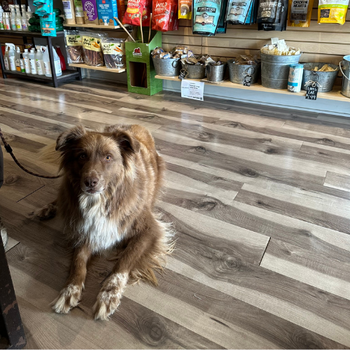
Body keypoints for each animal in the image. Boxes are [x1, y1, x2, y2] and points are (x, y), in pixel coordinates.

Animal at [38, 123, 174, 320]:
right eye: (81, 156)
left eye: (108, 157)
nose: (90, 182)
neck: (102, 200)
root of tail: (136, 125)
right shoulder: (85, 230)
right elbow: (78, 263)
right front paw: (70, 290)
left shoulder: (150, 230)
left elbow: (124, 261)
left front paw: (108, 295)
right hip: (66, 192)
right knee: (61, 198)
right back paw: (47, 209)